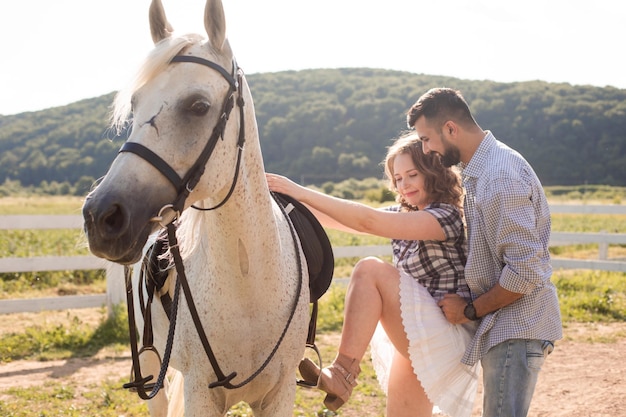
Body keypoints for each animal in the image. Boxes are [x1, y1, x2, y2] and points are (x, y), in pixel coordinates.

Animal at [80, 1, 310, 414]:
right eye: (135, 104)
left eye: (198, 106)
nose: (101, 216)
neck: (247, 282)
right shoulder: (200, 392)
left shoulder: (281, 393)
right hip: (152, 368)